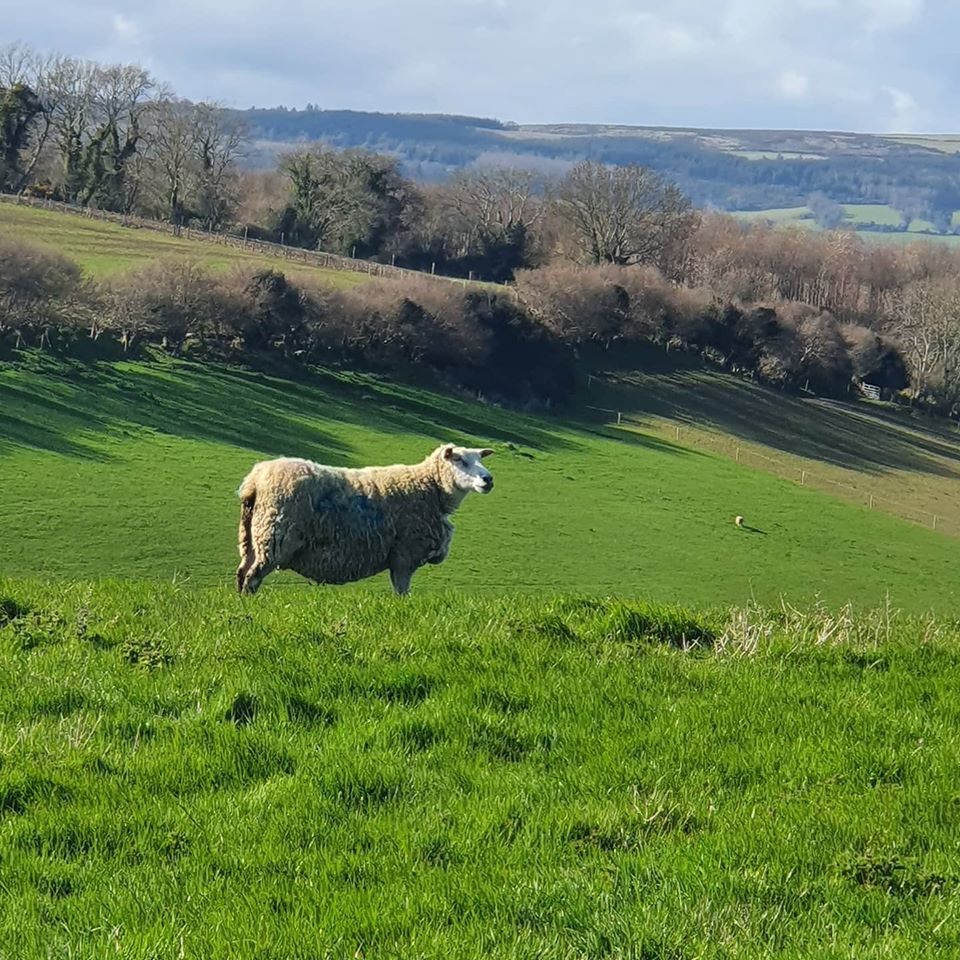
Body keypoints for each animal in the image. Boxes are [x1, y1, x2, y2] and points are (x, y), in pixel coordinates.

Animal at [234, 444, 496, 596]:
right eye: (459, 460)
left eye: (480, 459)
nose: (488, 479)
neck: (430, 487)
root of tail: (254, 480)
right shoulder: (405, 553)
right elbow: (402, 590)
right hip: (274, 536)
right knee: (252, 577)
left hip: (251, 536)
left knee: (242, 572)